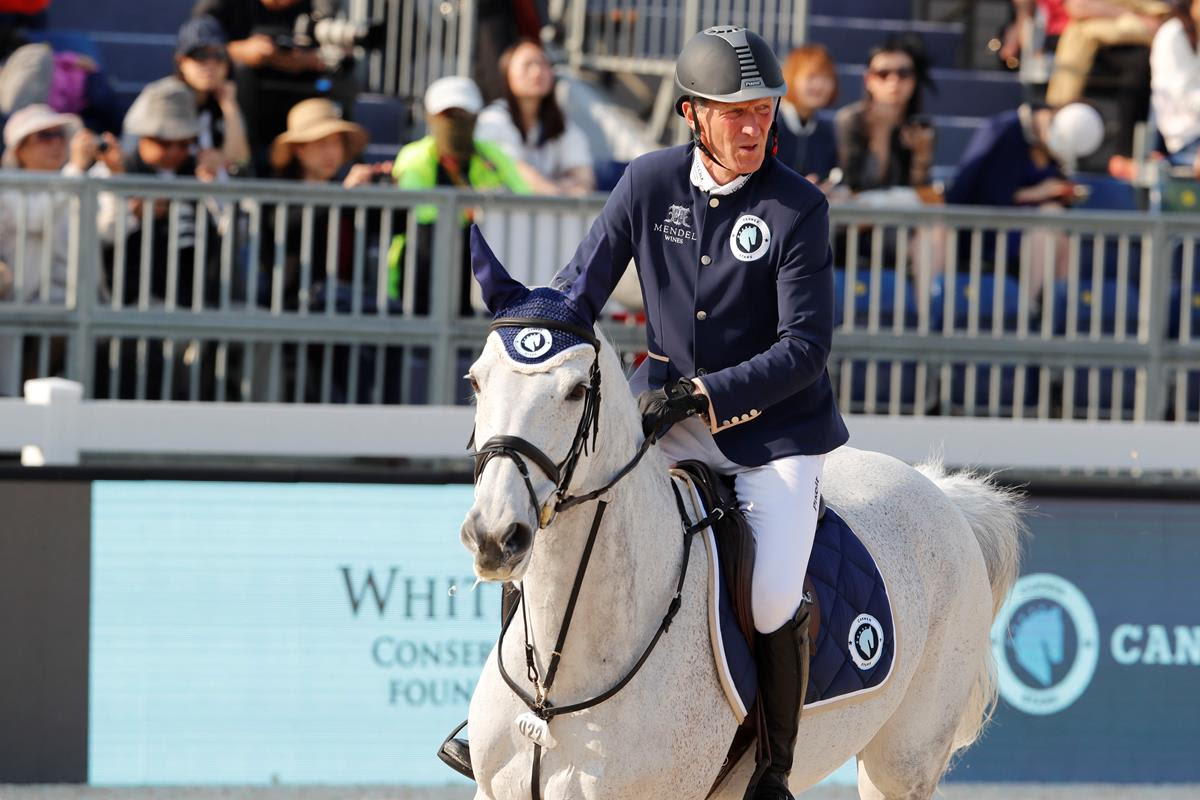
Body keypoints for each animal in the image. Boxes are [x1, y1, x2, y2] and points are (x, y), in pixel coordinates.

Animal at [463, 284, 1027, 796]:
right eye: (476, 381)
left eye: (577, 390)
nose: (493, 536)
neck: (558, 686)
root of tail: (943, 493)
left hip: (902, 762)